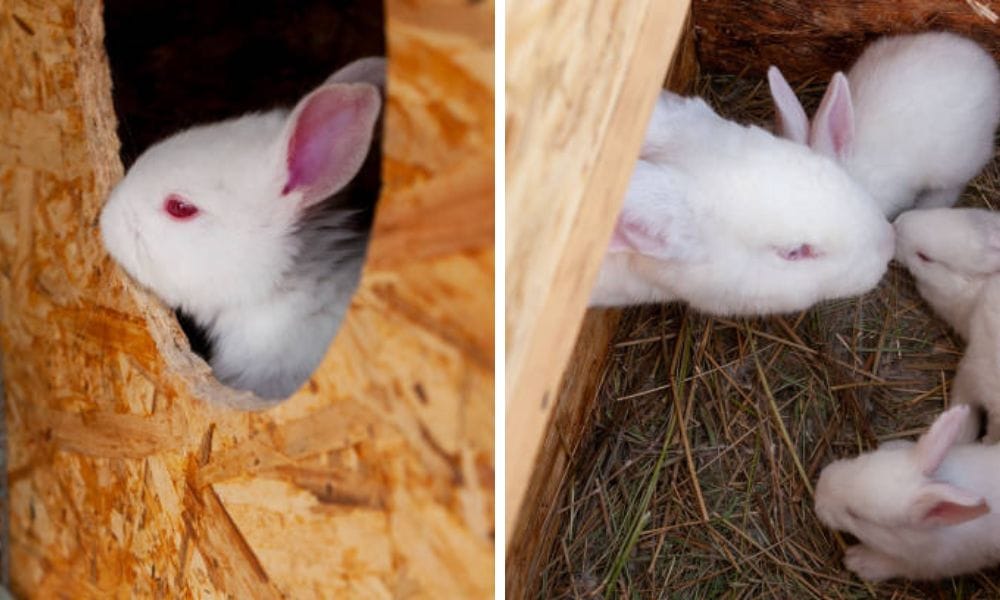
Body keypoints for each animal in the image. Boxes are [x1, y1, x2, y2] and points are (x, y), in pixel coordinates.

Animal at [814, 405, 1000, 581]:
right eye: (862, 460)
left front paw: (857, 561)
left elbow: (899, 566)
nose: (819, 490)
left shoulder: (936, 564)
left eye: (855, 515)